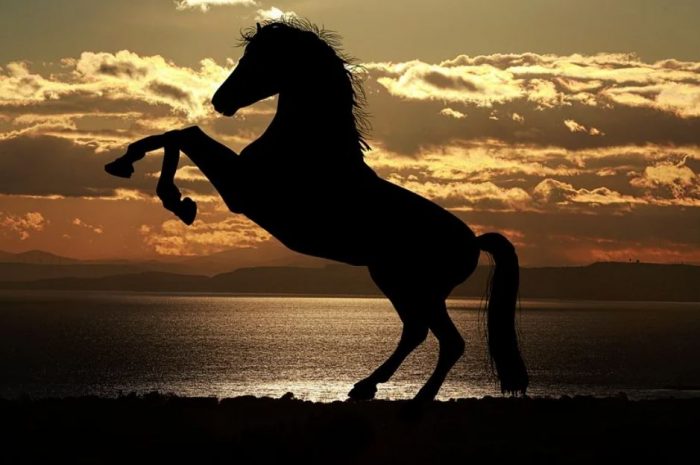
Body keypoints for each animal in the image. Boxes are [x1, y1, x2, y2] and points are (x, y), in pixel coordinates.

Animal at [104, 19, 528, 401]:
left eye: (257, 60)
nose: (219, 101)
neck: (308, 147)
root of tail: (473, 242)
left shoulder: (242, 190)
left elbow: (184, 135)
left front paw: (172, 197)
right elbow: (177, 134)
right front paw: (133, 169)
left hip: (413, 286)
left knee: (446, 339)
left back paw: (415, 398)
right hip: (398, 283)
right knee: (417, 331)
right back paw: (366, 387)